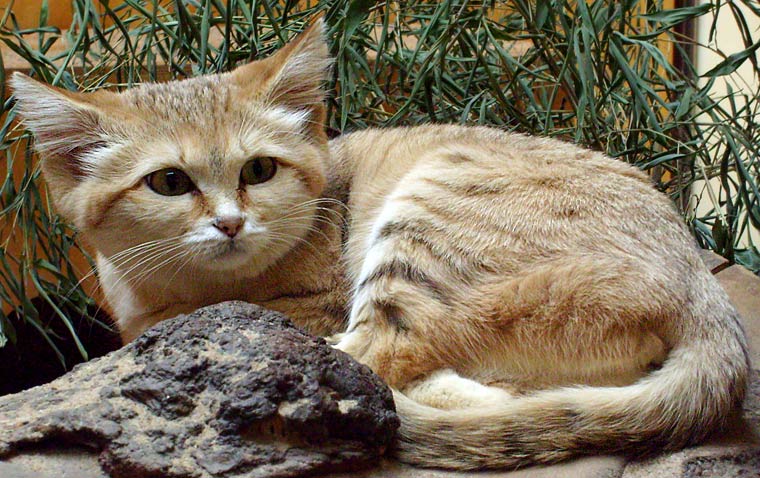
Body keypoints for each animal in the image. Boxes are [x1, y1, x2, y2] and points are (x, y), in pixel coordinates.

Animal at [10, 19, 748, 470]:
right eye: (168, 182)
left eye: (259, 170)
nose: (230, 223)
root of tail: (705, 296)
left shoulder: (314, 303)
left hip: (428, 217)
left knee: (372, 360)